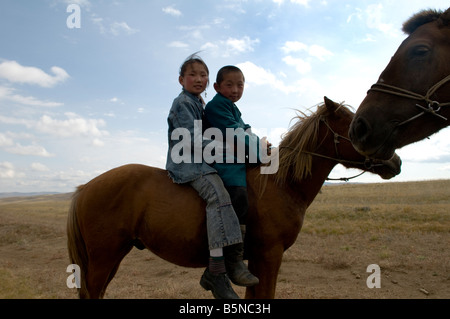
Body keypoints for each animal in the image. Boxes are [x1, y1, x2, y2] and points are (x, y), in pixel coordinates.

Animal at [66, 98, 400, 300]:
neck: (282, 185)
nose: (395, 161)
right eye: (354, 123)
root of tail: (85, 188)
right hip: (103, 258)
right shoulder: (269, 256)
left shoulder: (258, 262)